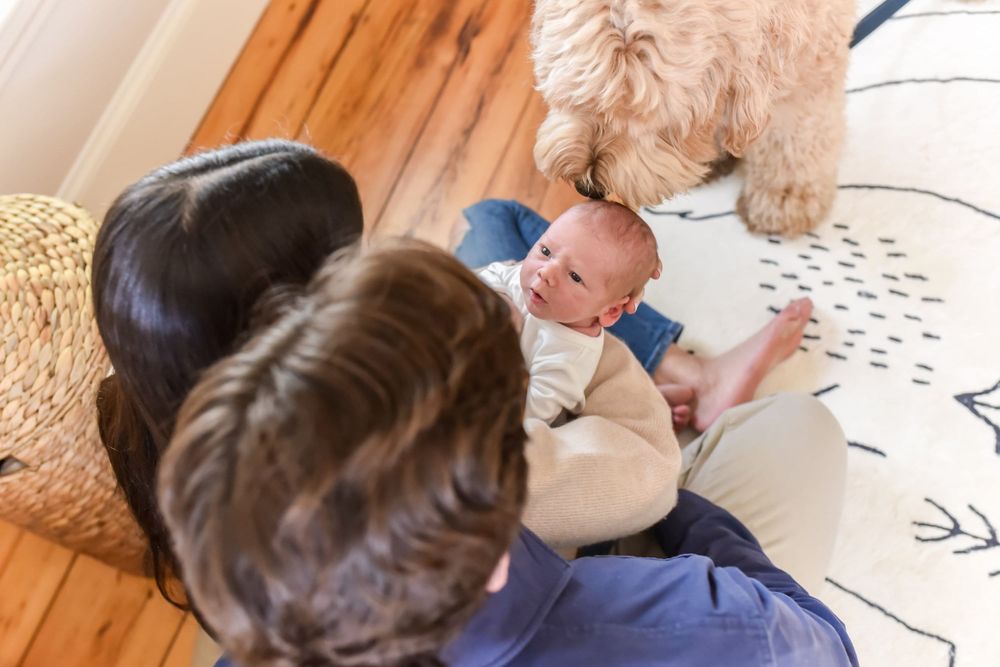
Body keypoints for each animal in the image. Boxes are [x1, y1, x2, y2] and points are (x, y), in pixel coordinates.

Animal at [536, 0, 856, 239]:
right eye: (574, 95)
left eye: (659, 123)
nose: (587, 188)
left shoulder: (812, 72)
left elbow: (795, 137)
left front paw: (782, 199)